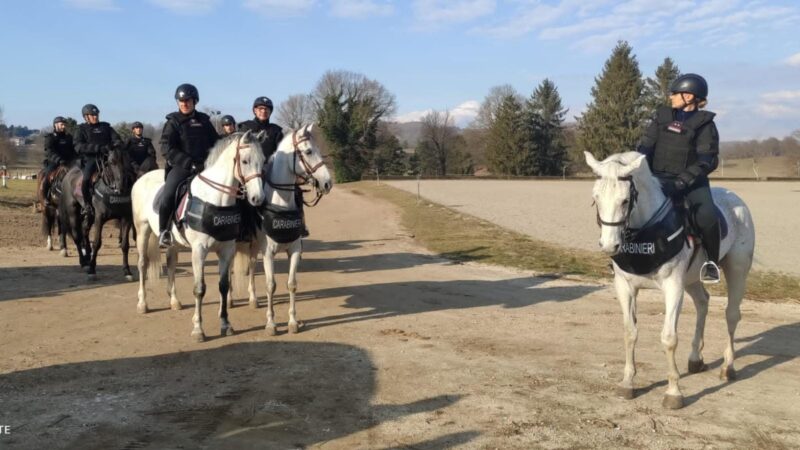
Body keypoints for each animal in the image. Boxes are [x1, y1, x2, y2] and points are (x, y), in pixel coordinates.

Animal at [132, 132, 266, 342]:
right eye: (245, 161)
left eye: (263, 161)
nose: (257, 198)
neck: (216, 199)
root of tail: (142, 178)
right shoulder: (199, 251)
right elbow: (199, 289)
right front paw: (198, 329)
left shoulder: (226, 249)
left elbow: (223, 286)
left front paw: (226, 324)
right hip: (142, 231)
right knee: (143, 264)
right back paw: (142, 304)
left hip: (172, 243)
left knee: (171, 264)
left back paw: (174, 301)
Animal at [231, 123, 332, 334]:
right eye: (308, 151)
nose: (327, 183)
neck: (280, 204)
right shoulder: (268, 252)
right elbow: (271, 285)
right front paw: (271, 324)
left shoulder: (294, 250)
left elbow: (291, 284)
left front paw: (293, 322)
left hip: (254, 245)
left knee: (251, 266)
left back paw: (253, 299)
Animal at [584, 150, 752, 408]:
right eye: (596, 198)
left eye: (625, 201)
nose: (609, 245)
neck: (646, 229)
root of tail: (736, 200)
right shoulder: (625, 287)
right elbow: (630, 333)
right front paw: (627, 383)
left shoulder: (673, 286)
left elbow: (669, 338)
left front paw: (673, 392)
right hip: (692, 279)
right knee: (703, 303)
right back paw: (695, 359)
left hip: (737, 271)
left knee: (732, 315)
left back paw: (728, 367)